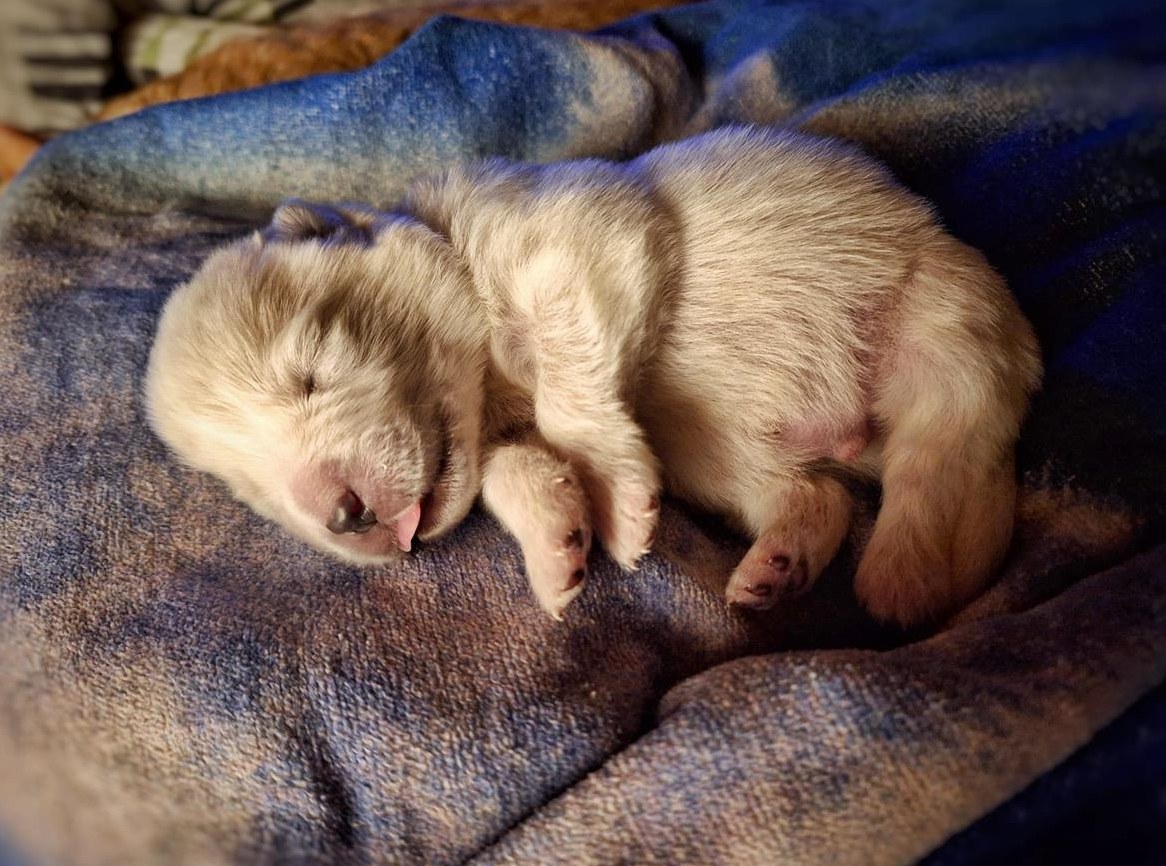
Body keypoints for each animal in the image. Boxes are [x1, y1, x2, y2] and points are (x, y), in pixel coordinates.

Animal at [145, 125, 1042, 625]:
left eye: (308, 372)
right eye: (251, 493)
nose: (341, 516)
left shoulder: (578, 244)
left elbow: (568, 399)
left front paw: (616, 501)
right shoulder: (502, 427)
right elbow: (508, 470)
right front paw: (556, 548)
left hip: (942, 319)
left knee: (942, 460)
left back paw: (904, 580)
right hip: (713, 456)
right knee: (815, 495)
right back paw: (778, 566)